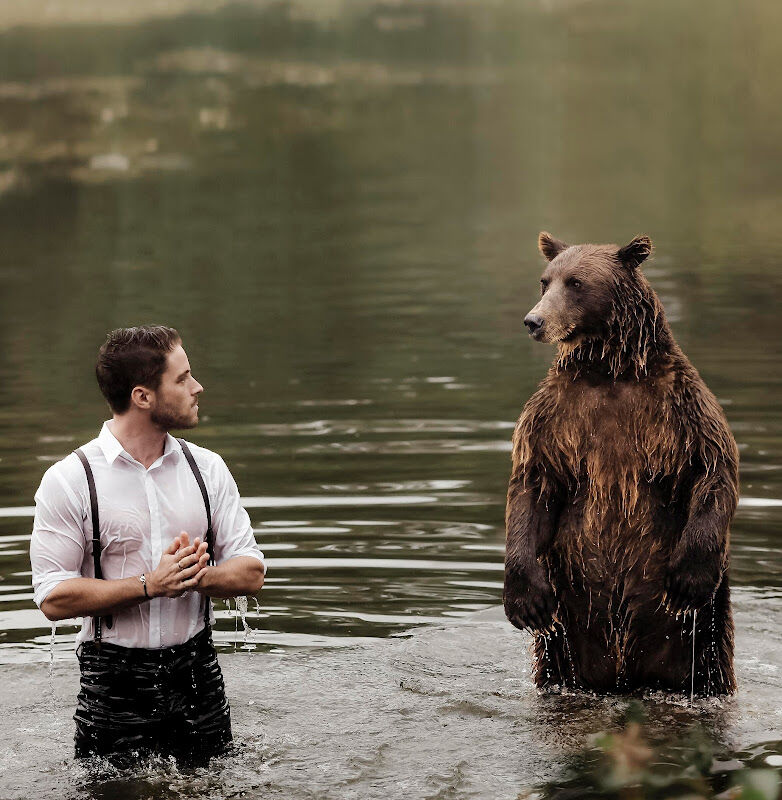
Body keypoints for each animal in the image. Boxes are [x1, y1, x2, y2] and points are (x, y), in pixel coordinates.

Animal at [508, 231, 740, 692]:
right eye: (545, 281)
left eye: (576, 283)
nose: (533, 321)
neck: (610, 371)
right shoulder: (553, 418)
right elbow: (532, 484)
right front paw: (525, 601)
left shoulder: (681, 408)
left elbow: (712, 469)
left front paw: (688, 579)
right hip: (570, 628)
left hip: (702, 634)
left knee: (708, 664)